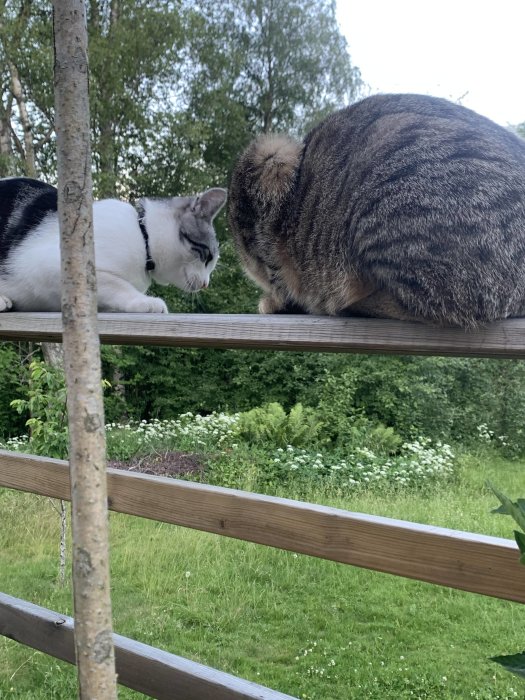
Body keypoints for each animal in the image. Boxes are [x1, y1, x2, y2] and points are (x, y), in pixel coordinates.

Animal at [0, 178, 224, 312]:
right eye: (208, 257)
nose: (206, 284)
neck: (143, 236)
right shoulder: (49, 265)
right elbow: (112, 283)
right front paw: (146, 301)